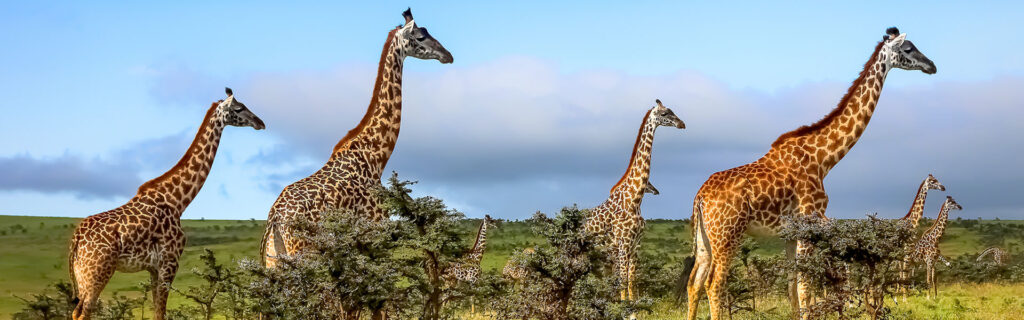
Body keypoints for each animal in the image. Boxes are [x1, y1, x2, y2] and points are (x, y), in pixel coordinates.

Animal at [68, 88, 266, 320]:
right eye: (239, 108)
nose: (260, 122)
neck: (178, 201)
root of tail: (76, 239)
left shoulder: (154, 268)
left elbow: (157, 311)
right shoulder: (169, 263)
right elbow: (160, 313)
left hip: (83, 274)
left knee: (76, 312)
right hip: (98, 272)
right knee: (84, 313)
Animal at [262, 8, 454, 266]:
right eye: (421, 36)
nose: (448, 55)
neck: (376, 156)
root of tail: (275, 219)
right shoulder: (375, 232)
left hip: (274, 258)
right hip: (303, 252)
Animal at [581, 99, 684, 307]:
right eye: (665, 113)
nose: (682, 124)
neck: (634, 200)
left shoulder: (636, 245)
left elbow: (632, 280)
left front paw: (635, 309)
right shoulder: (623, 243)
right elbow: (622, 279)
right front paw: (623, 308)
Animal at [684, 27, 937, 320]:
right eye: (908, 48)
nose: (932, 66)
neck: (824, 159)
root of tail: (700, 197)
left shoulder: (790, 233)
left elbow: (793, 287)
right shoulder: (810, 220)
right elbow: (806, 288)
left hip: (705, 239)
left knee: (694, 283)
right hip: (728, 235)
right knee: (714, 285)